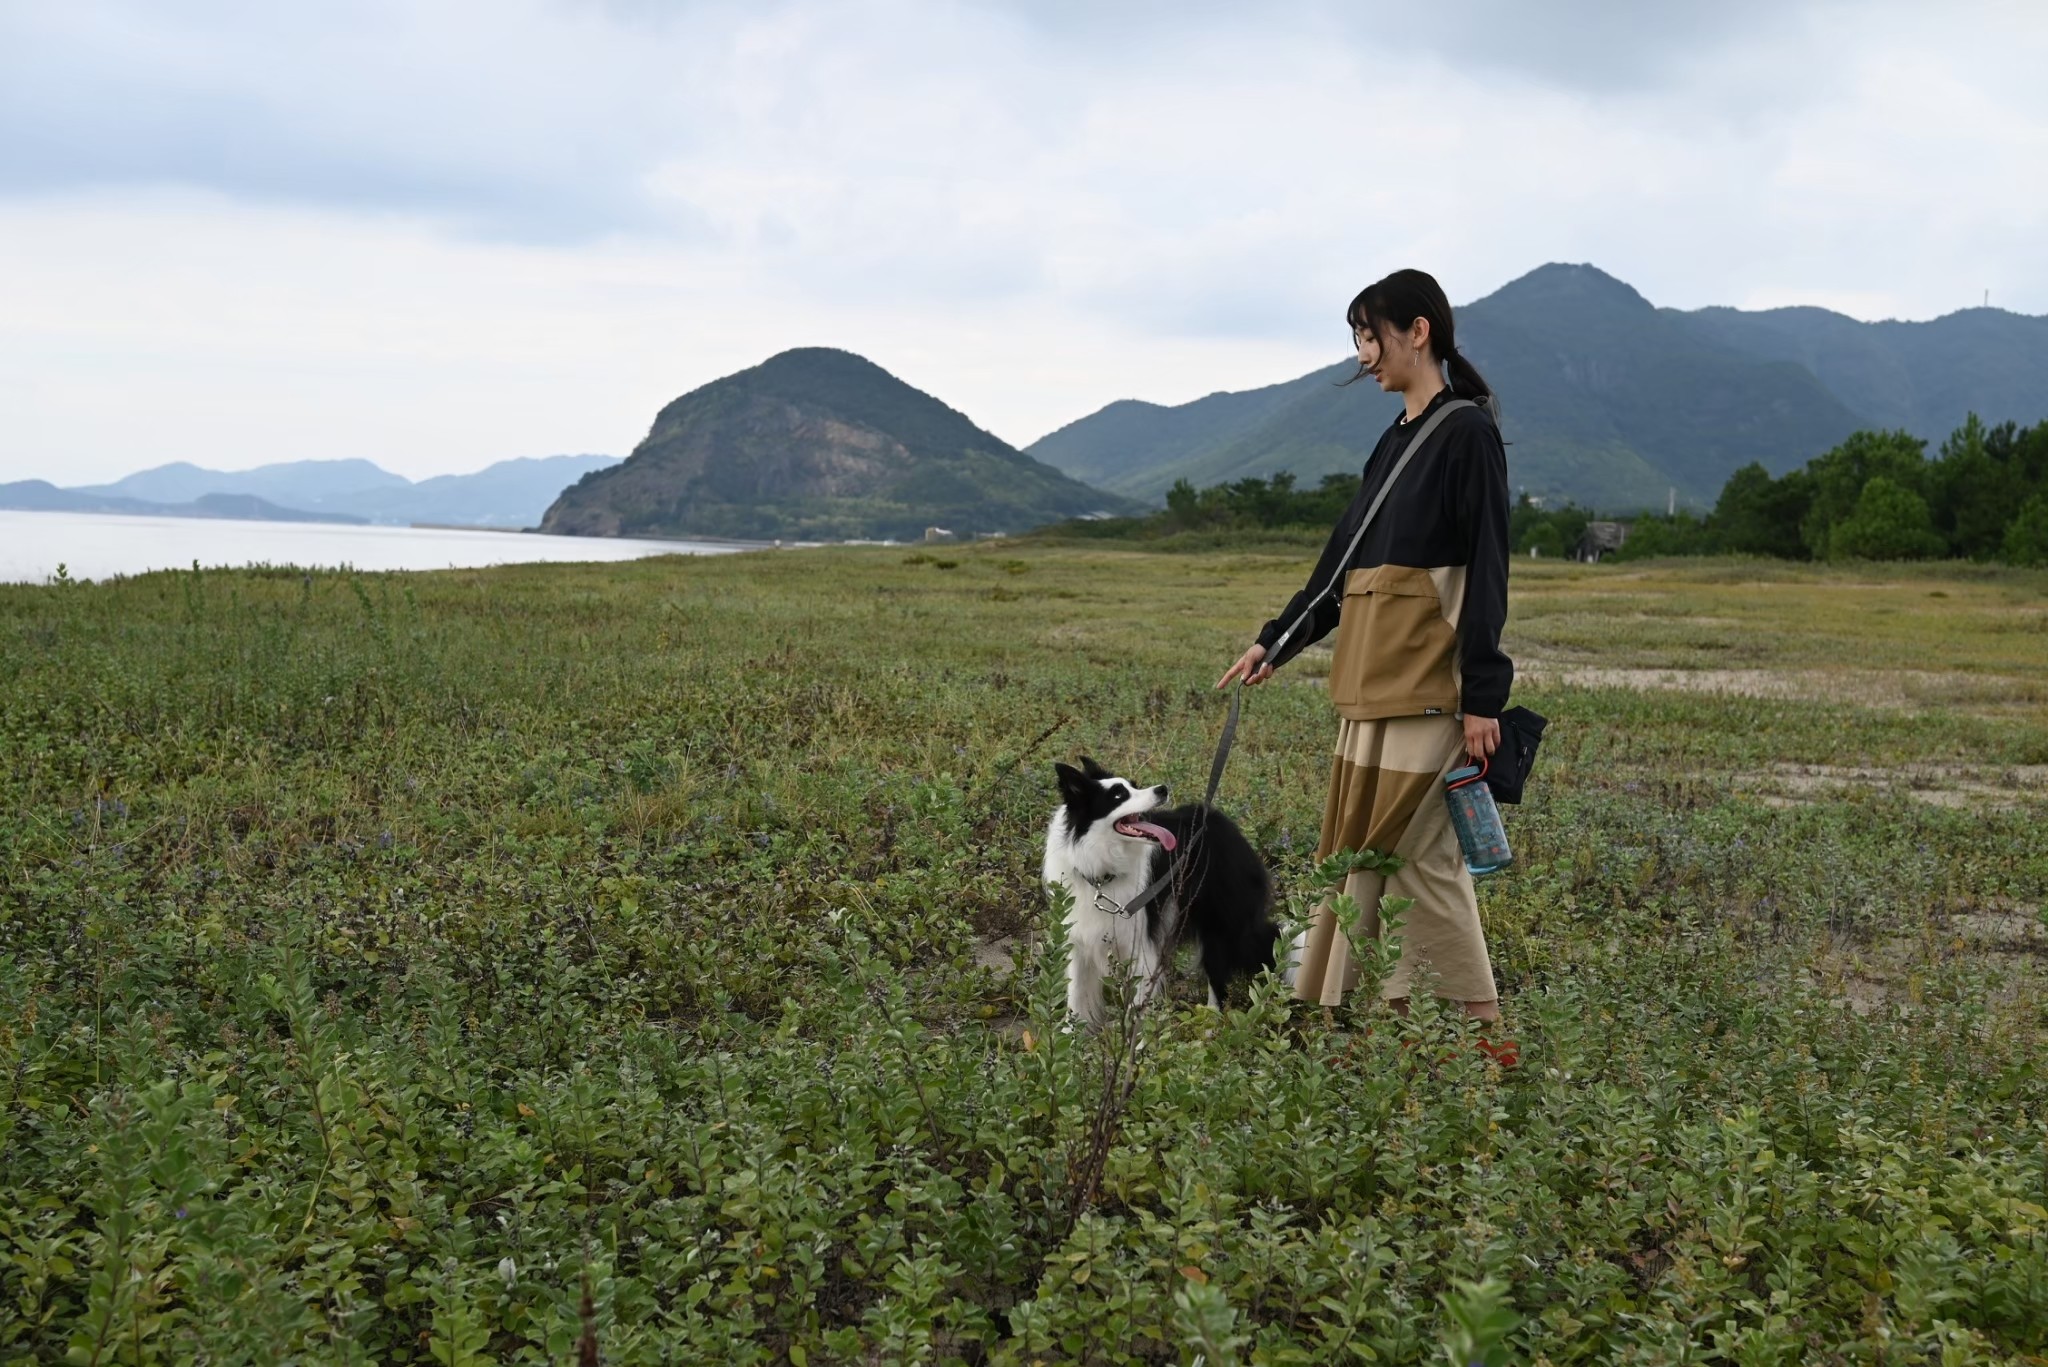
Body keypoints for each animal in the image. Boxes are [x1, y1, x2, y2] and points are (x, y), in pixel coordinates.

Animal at [1048, 758, 1269, 1024]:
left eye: (1134, 785)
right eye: (1119, 795)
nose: (1162, 789)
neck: (1100, 873)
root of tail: (1223, 824)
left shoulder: (1141, 944)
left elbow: (1137, 1004)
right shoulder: (1080, 938)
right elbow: (1076, 995)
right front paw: (1069, 1031)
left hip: (1217, 925)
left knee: (1218, 981)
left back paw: (1210, 1024)